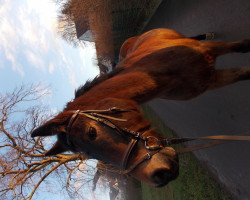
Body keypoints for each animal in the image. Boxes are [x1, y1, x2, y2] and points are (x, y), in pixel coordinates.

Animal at [31, 28, 250, 188]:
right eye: (89, 156)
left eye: (92, 133)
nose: (159, 175)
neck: (157, 69)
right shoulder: (211, 81)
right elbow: (244, 74)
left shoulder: (212, 51)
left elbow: (241, 46)